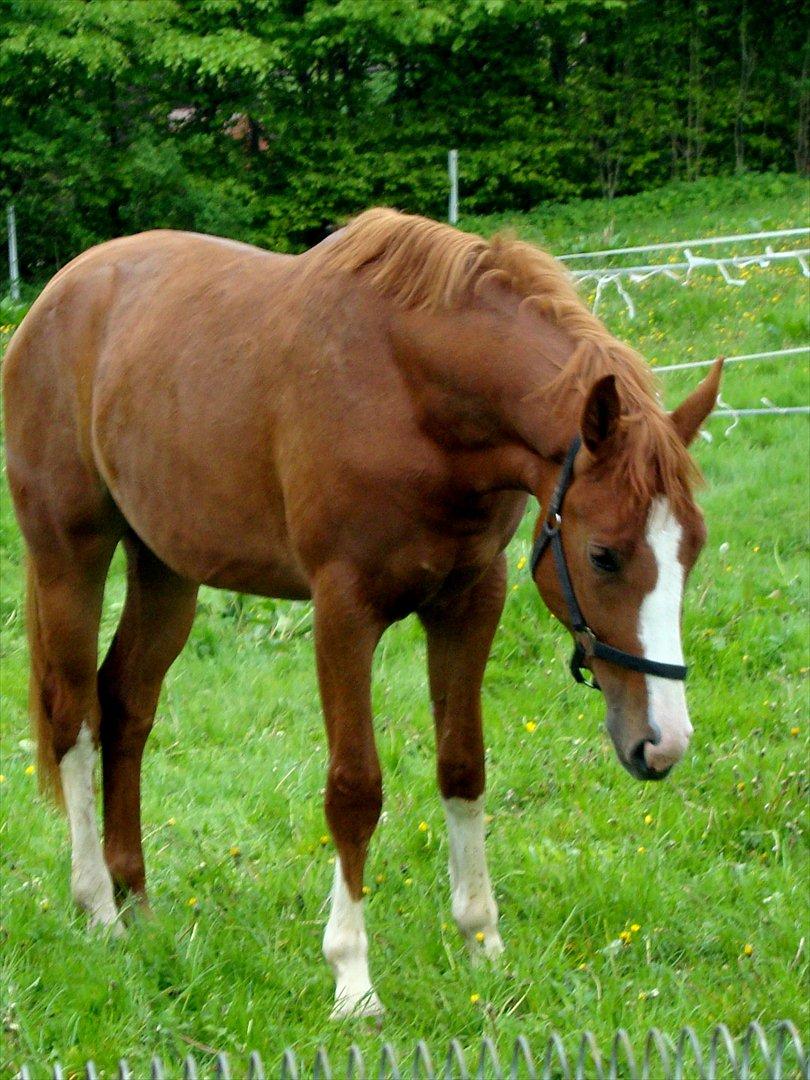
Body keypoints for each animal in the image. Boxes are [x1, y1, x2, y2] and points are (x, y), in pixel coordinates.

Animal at [0, 206, 721, 1015]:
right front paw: (351, 976)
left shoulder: (471, 600)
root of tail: (55, 299)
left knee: (125, 707)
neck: (413, 392)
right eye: (603, 555)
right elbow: (354, 789)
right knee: (75, 719)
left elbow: (463, 766)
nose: (663, 743)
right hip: (71, 556)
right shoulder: (344, 611)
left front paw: (482, 941)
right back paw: (98, 908)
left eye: (692, 547)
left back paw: (139, 905)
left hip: (164, 571)